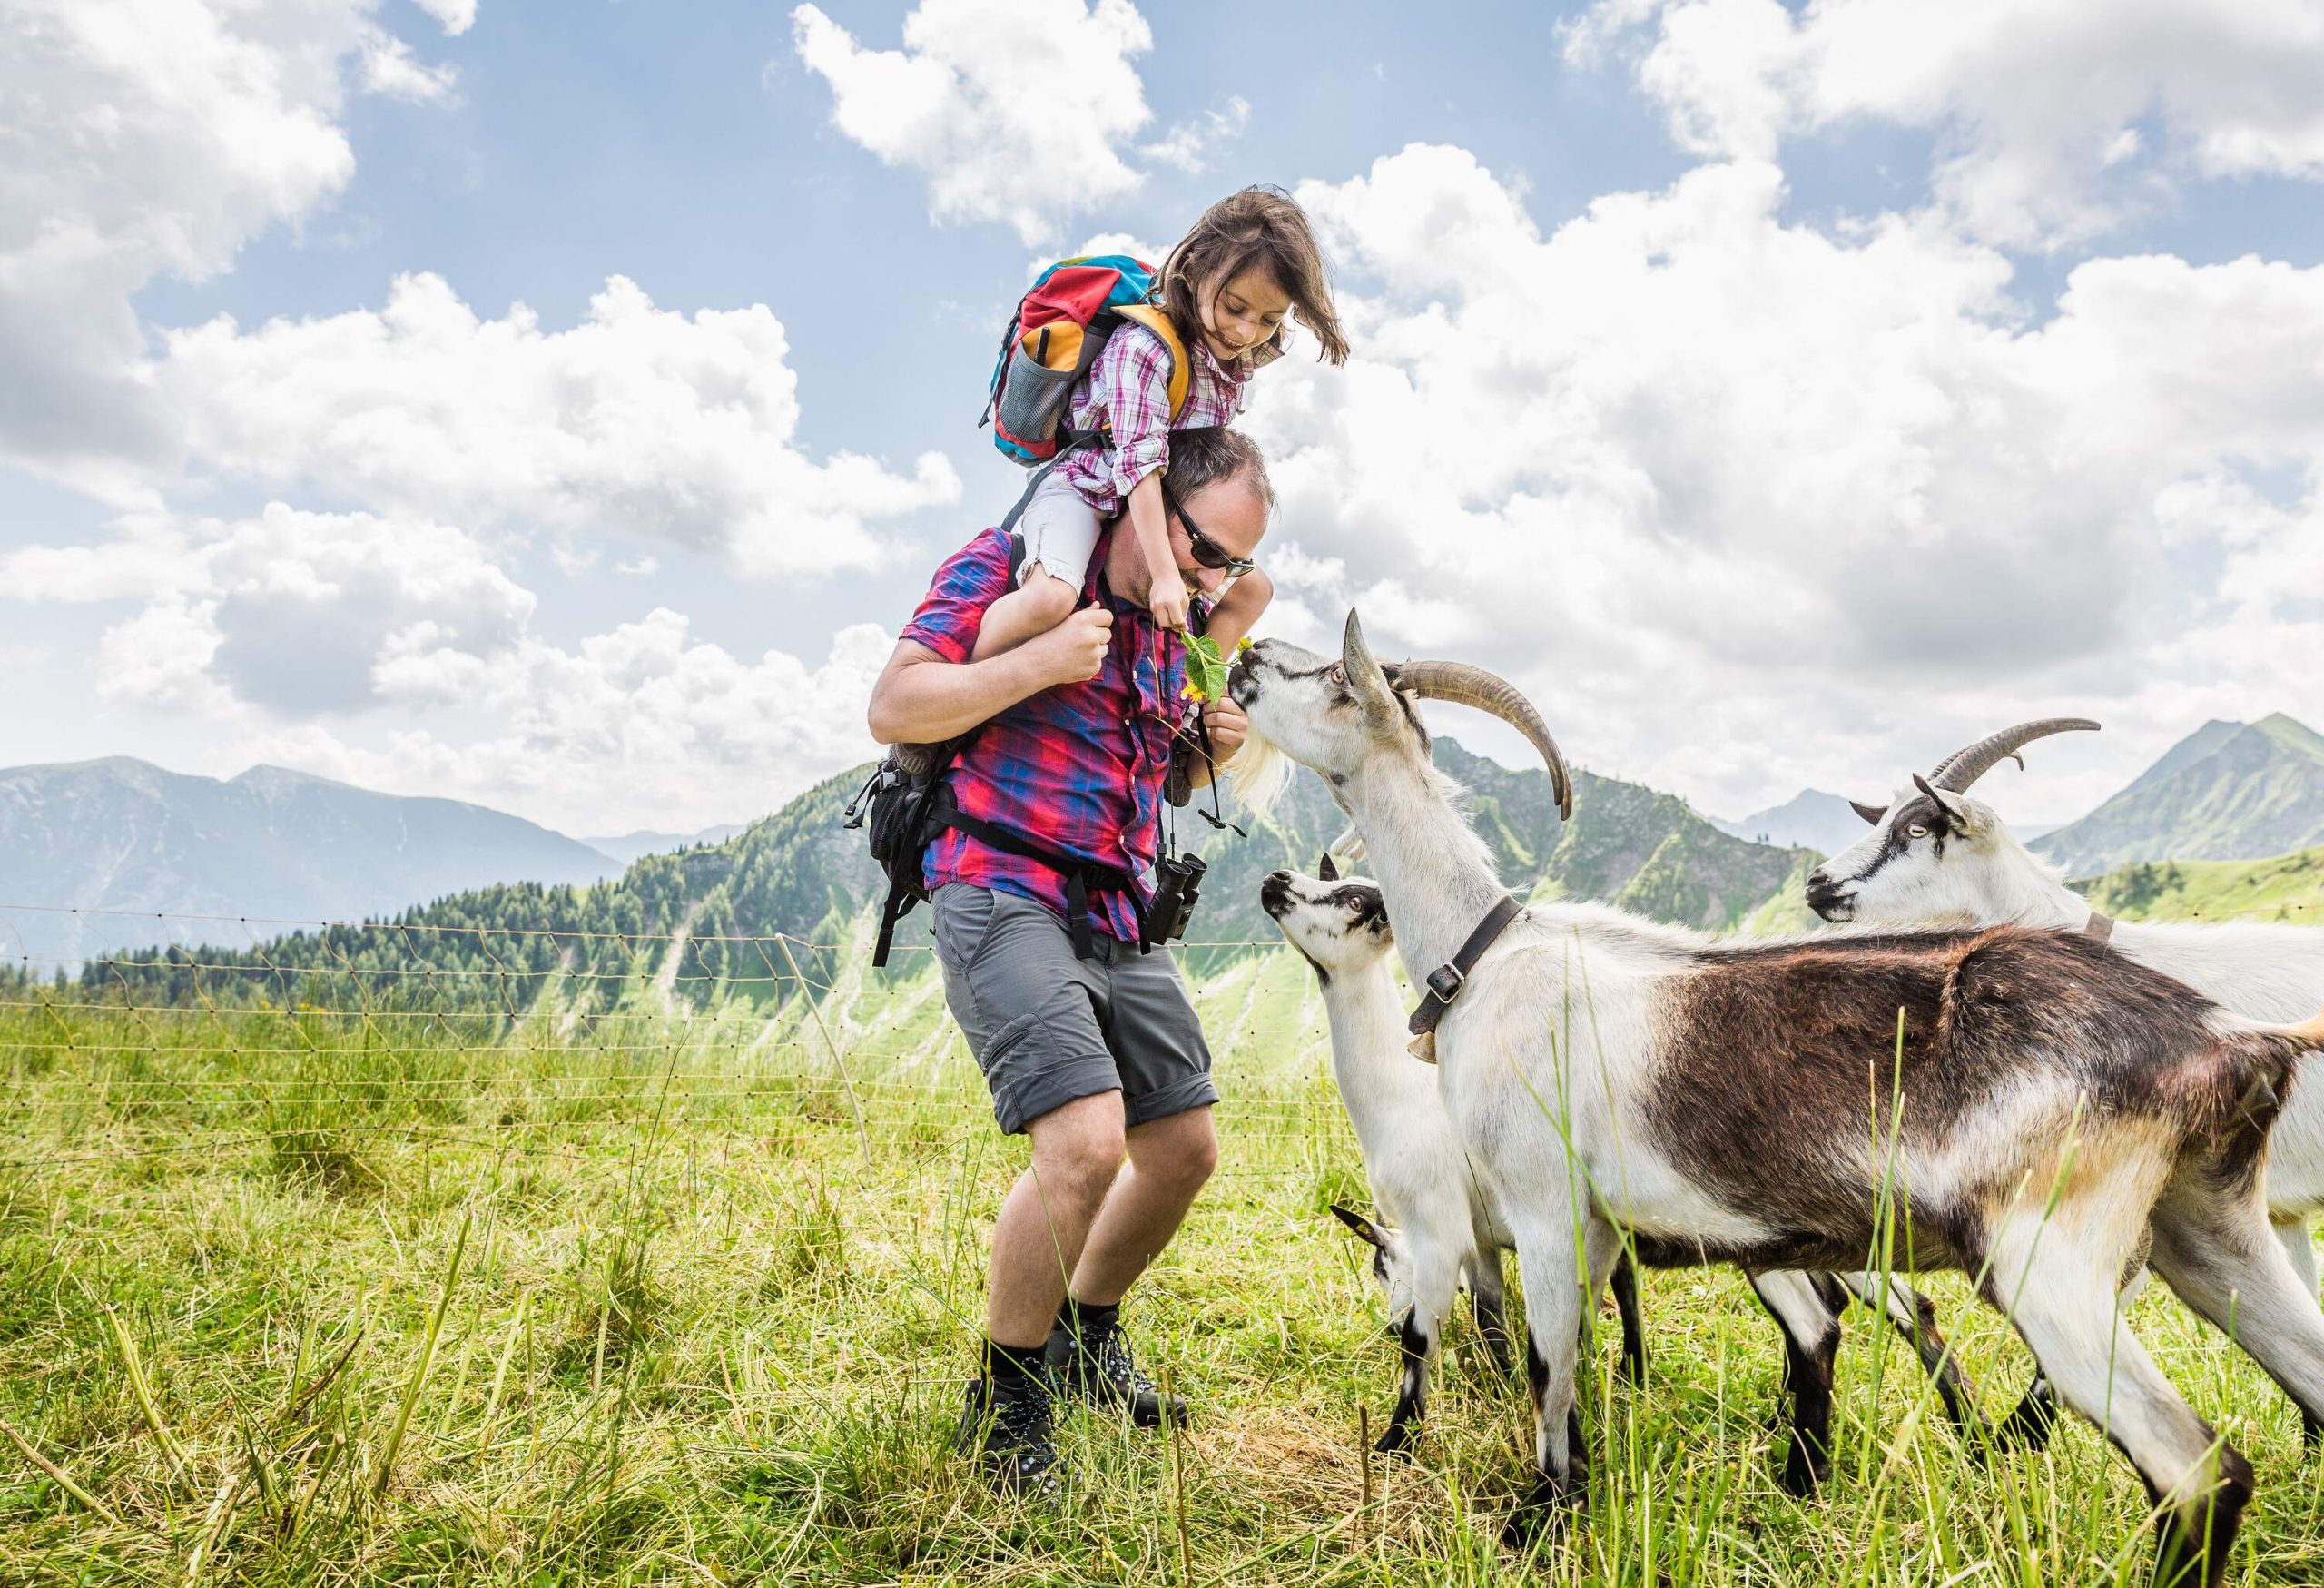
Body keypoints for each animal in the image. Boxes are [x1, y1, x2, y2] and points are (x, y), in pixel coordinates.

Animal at [1273, 855, 1980, 1478]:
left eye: (1353, 901)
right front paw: (1520, 1391)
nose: (1274, 881)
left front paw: (1397, 1443)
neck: (1398, 1097)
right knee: (1895, 1304)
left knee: (1853, 1313)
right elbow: (1505, 1317)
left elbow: (1432, 1338)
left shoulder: (1441, 1226)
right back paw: (1970, 1436)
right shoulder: (1490, 1238)